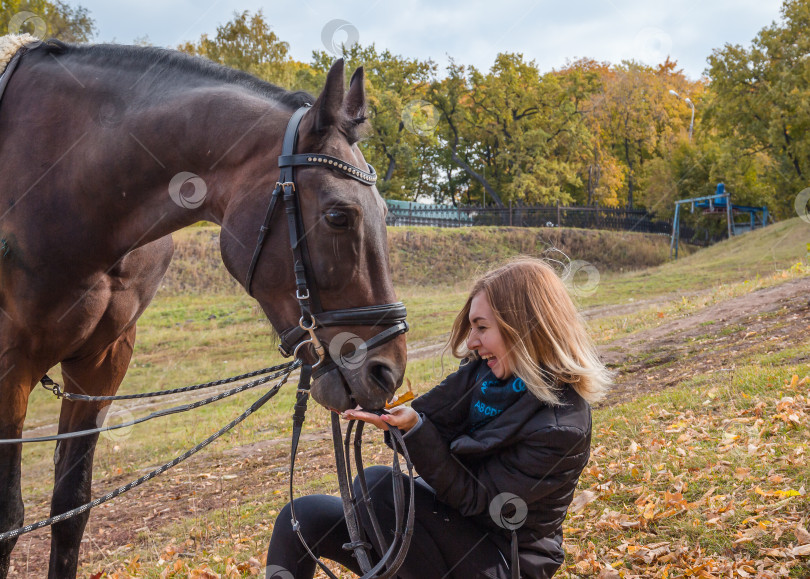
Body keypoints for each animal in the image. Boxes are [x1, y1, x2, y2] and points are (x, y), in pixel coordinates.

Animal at [0, 42, 404, 579]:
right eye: (339, 216)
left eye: (385, 213)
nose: (387, 371)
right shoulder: (10, 367)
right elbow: (8, 518)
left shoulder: (101, 363)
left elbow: (70, 509)